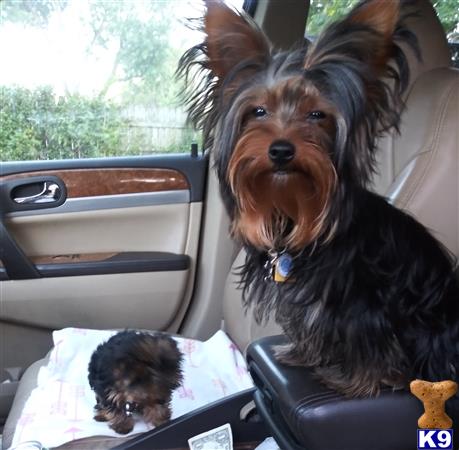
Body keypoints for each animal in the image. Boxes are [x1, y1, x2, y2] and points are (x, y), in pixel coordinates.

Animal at [180, 0, 459, 396]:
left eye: (317, 115)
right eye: (258, 111)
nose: (281, 150)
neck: (294, 209)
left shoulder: (364, 303)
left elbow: (369, 341)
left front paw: (358, 381)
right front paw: (303, 353)